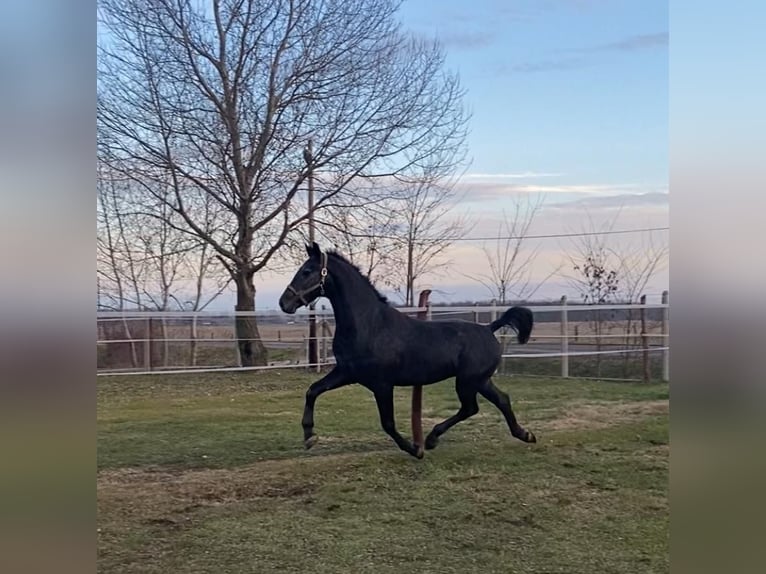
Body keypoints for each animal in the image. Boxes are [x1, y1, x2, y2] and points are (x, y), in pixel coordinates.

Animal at [280, 243, 536, 460]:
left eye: (307, 271)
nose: (284, 302)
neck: (370, 325)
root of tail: (489, 328)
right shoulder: (346, 373)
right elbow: (313, 390)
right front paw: (309, 436)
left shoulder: (382, 384)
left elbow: (388, 423)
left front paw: (415, 450)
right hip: (479, 380)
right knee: (500, 400)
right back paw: (525, 434)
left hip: (467, 381)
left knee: (471, 407)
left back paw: (431, 440)